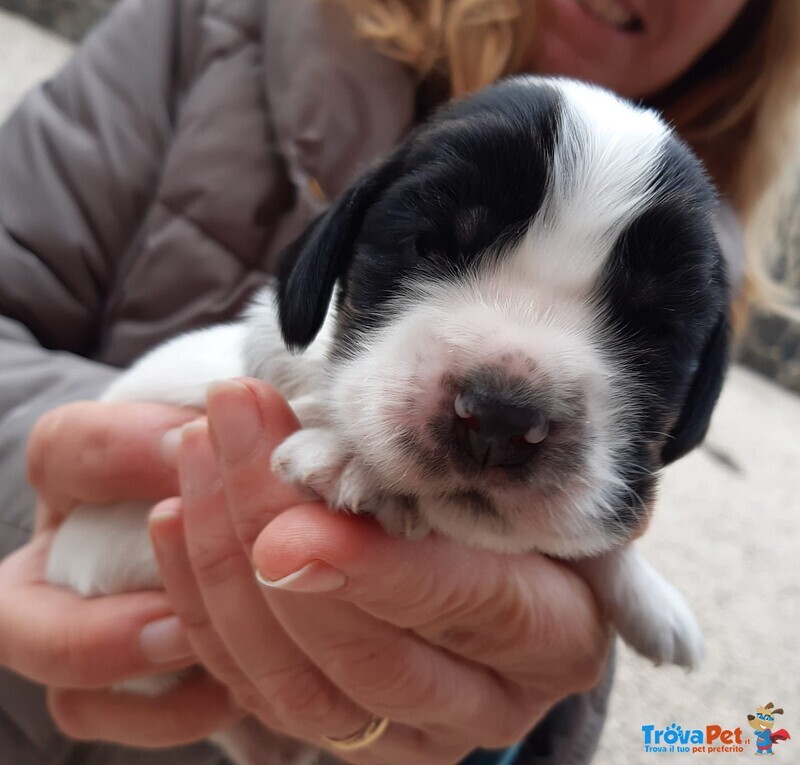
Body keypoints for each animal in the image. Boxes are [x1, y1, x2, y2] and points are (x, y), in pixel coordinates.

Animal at [45, 74, 732, 760]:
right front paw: (354, 455)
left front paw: (649, 596)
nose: (503, 418)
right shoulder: (101, 541)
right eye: (426, 245)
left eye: (654, 326)